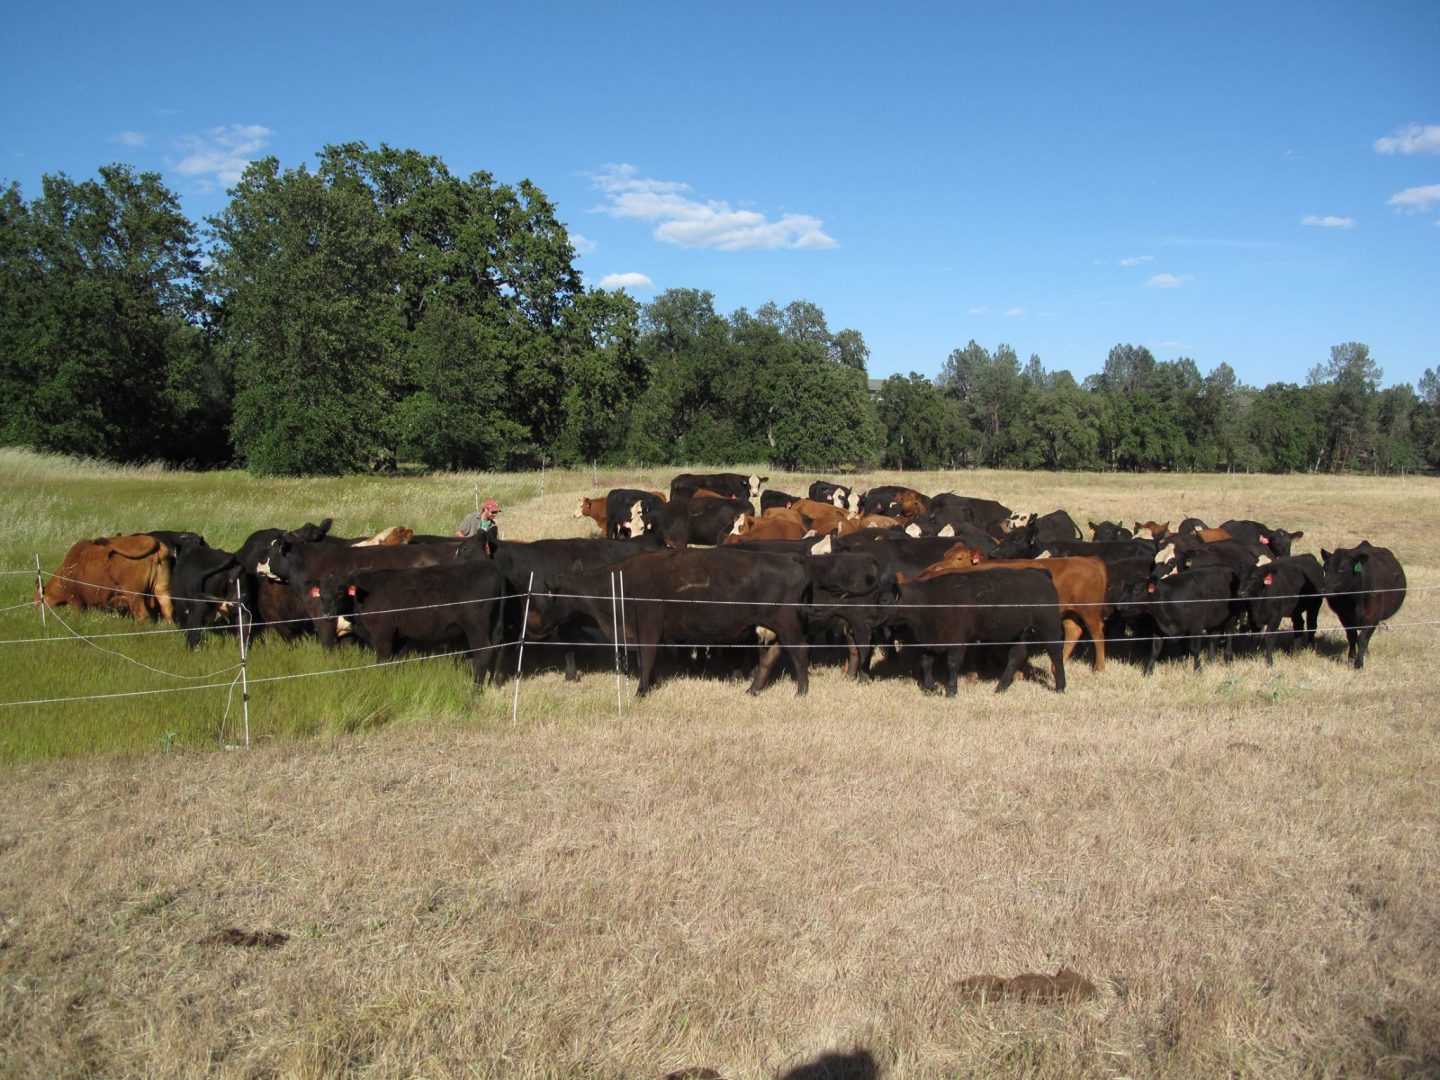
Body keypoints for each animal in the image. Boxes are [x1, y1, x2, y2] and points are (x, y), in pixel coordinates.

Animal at [39, 538, 175, 622]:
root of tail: (154, 541)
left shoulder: (76, 601)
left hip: (135, 596)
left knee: (142, 615)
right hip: (162, 589)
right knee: (168, 610)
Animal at [321, 561, 506, 688]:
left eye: (340, 592)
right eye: (321, 595)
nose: (326, 614)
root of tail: (492, 568)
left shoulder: (382, 633)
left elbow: (383, 658)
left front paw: (381, 680)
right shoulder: (399, 635)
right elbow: (396, 658)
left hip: (475, 627)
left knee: (484, 651)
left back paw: (475, 687)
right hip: (495, 627)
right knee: (499, 649)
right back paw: (494, 683)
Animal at [538, 552, 817, 696]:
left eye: (550, 595)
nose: (541, 625)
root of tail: (792, 560)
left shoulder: (648, 628)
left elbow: (646, 659)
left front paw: (641, 691)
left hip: (787, 624)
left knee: (800, 653)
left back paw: (801, 691)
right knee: (770, 657)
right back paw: (753, 689)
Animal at [864, 570, 1071, 696]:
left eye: (884, 600)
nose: (868, 619)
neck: (928, 602)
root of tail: (1042, 574)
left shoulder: (957, 641)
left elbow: (953, 664)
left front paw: (951, 691)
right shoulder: (931, 640)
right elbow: (926, 662)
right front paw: (932, 687)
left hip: (1048, 626)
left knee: (1055, 653)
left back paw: (1060, 687)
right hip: (1017, 633)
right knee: (1017, 656)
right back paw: (1000, 688)